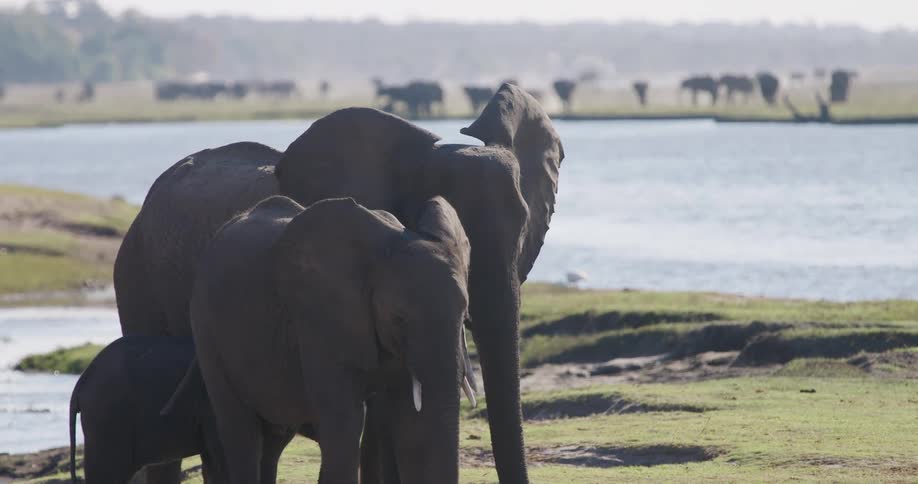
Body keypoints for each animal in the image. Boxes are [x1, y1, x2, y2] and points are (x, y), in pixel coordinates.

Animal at [188, 195, 476, 483]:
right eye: (398, 318)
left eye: (465, 317)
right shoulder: (317, 317)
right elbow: (344, 423)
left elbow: (413, 425)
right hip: (206, 329)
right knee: (240, 432)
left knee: (270, 443)